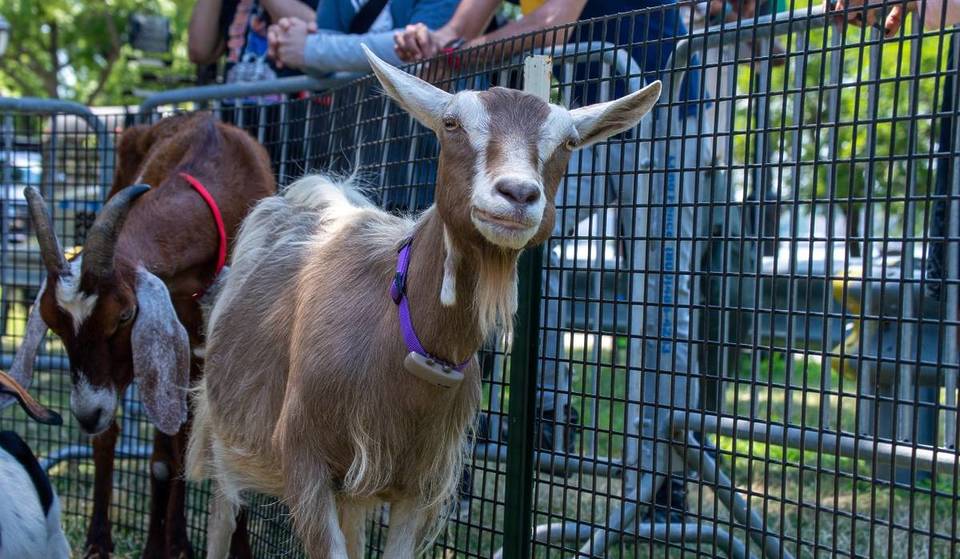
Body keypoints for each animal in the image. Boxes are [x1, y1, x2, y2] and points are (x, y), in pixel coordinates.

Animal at [188, 46, 660, 558]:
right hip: (223, 431)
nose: (518, 194)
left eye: (570, 142)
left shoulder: (419, 483)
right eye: (451, 123)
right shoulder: (304, 461)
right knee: (221, 512)